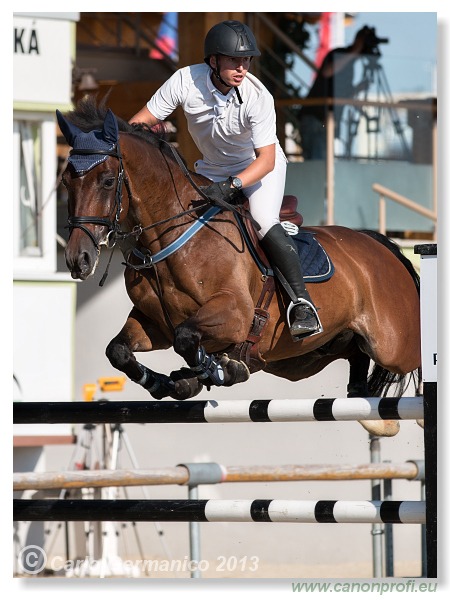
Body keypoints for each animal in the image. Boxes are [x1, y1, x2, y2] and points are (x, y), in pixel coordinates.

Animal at [57, 97, 422, 436]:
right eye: (65, 182)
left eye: (107, 181)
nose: (78, 260)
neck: (168, 238)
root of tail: (378, 243)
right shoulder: (154, 324)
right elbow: (118, 350)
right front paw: (170, 382)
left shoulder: (235, 314)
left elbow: (186, 338)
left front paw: (218, 370)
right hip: (308, 356)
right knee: (355, 356)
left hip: (393, 345)